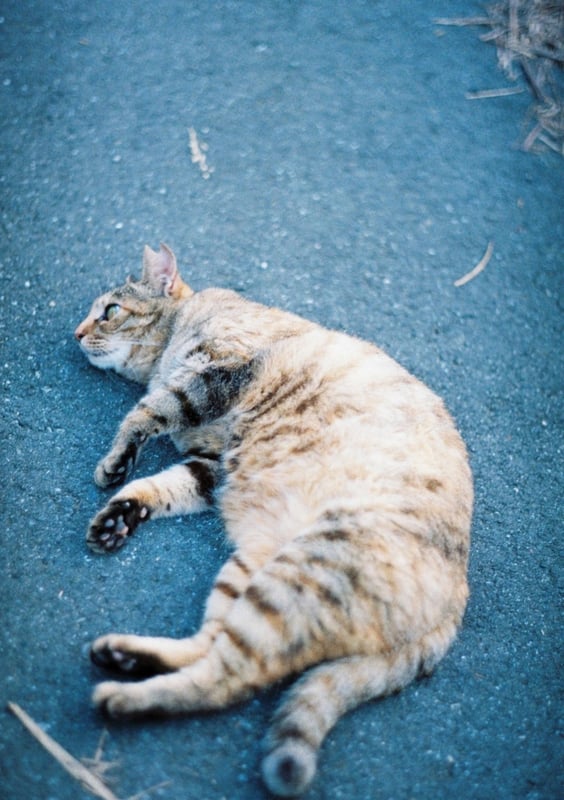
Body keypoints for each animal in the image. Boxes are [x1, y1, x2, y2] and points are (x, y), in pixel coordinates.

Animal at [74, 245, 472, 800]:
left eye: (109, 311)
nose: (76, 333)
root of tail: (455, 603)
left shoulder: (218, 373)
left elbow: (146, 412)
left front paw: (115, 461)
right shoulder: (210, 465)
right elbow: (163, 486)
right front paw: (119, 516)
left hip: (298, 577)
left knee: (227, 679)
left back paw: (121, 696)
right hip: (252, 568)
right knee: (207, 645)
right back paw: (123, 656)